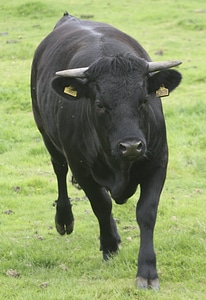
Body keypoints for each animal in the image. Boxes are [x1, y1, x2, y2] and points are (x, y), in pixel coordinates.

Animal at [30, 12, 182, 288]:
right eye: (100, 104)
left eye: (144, 100)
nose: (131, 146)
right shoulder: (81, 168)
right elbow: (100, 204)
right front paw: (109, 247)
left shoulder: (158, 162)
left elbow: (146, 212)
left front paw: (147, 271)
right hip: (46, 133)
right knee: (59, 171)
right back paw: (65, 220)